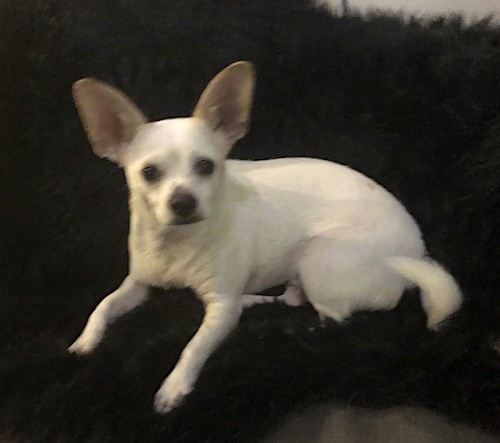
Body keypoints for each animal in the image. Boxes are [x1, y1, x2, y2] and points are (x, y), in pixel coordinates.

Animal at [68, 60, 462, 414]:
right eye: (149, 173)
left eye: (206, 166)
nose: (183, 202)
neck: (177, 243)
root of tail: (417, 254)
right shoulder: (140, 283)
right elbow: (104, 305)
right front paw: (84, 341)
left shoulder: (218, 306)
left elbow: (194, 346)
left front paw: (175, 386)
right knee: (292, 299)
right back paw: (253, 302)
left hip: (320, 256)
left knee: (332, 320)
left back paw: (290, 329)